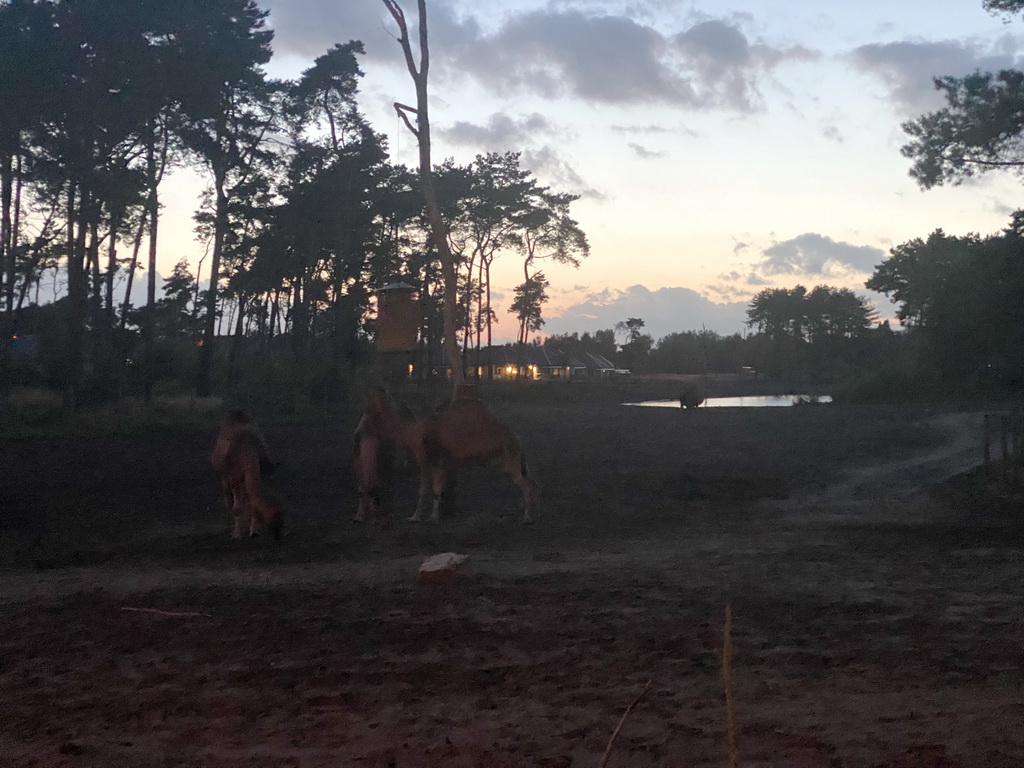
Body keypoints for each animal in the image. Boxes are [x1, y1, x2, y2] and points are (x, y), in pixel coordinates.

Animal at [209, 411, 284, 544]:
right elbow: (237, 508)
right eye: (275, 522)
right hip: (225, 476)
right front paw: (236, 535)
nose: (278, 537)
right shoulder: (234, 477)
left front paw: (254, 532)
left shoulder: (258, 475)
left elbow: (253, 503)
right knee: (229, 499)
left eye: (282, 521)